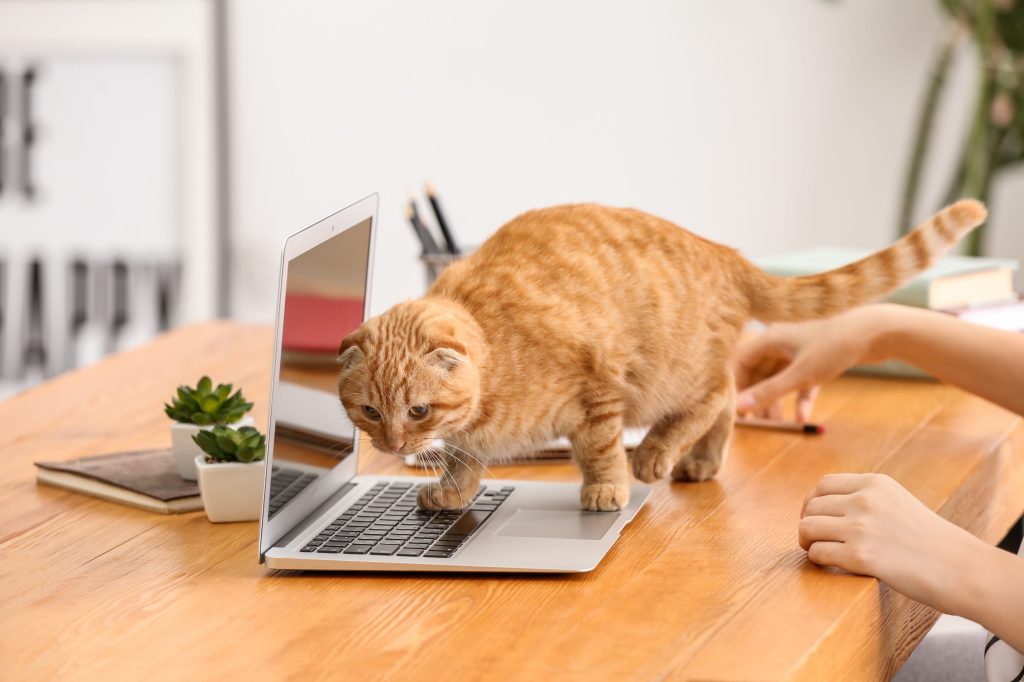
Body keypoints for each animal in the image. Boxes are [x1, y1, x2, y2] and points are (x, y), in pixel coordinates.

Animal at [339, 199, 987, 507]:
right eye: (370, 412)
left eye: (417, 411)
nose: (391, 446)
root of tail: (727, 252)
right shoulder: (474, 437)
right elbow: (467, 461)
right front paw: (452, 492)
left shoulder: (600, 391)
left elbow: (601, 451)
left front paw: (608, 488)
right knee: (727, 404)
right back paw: (703, 461)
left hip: (671, 374)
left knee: (717, 395)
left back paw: (658, 455)